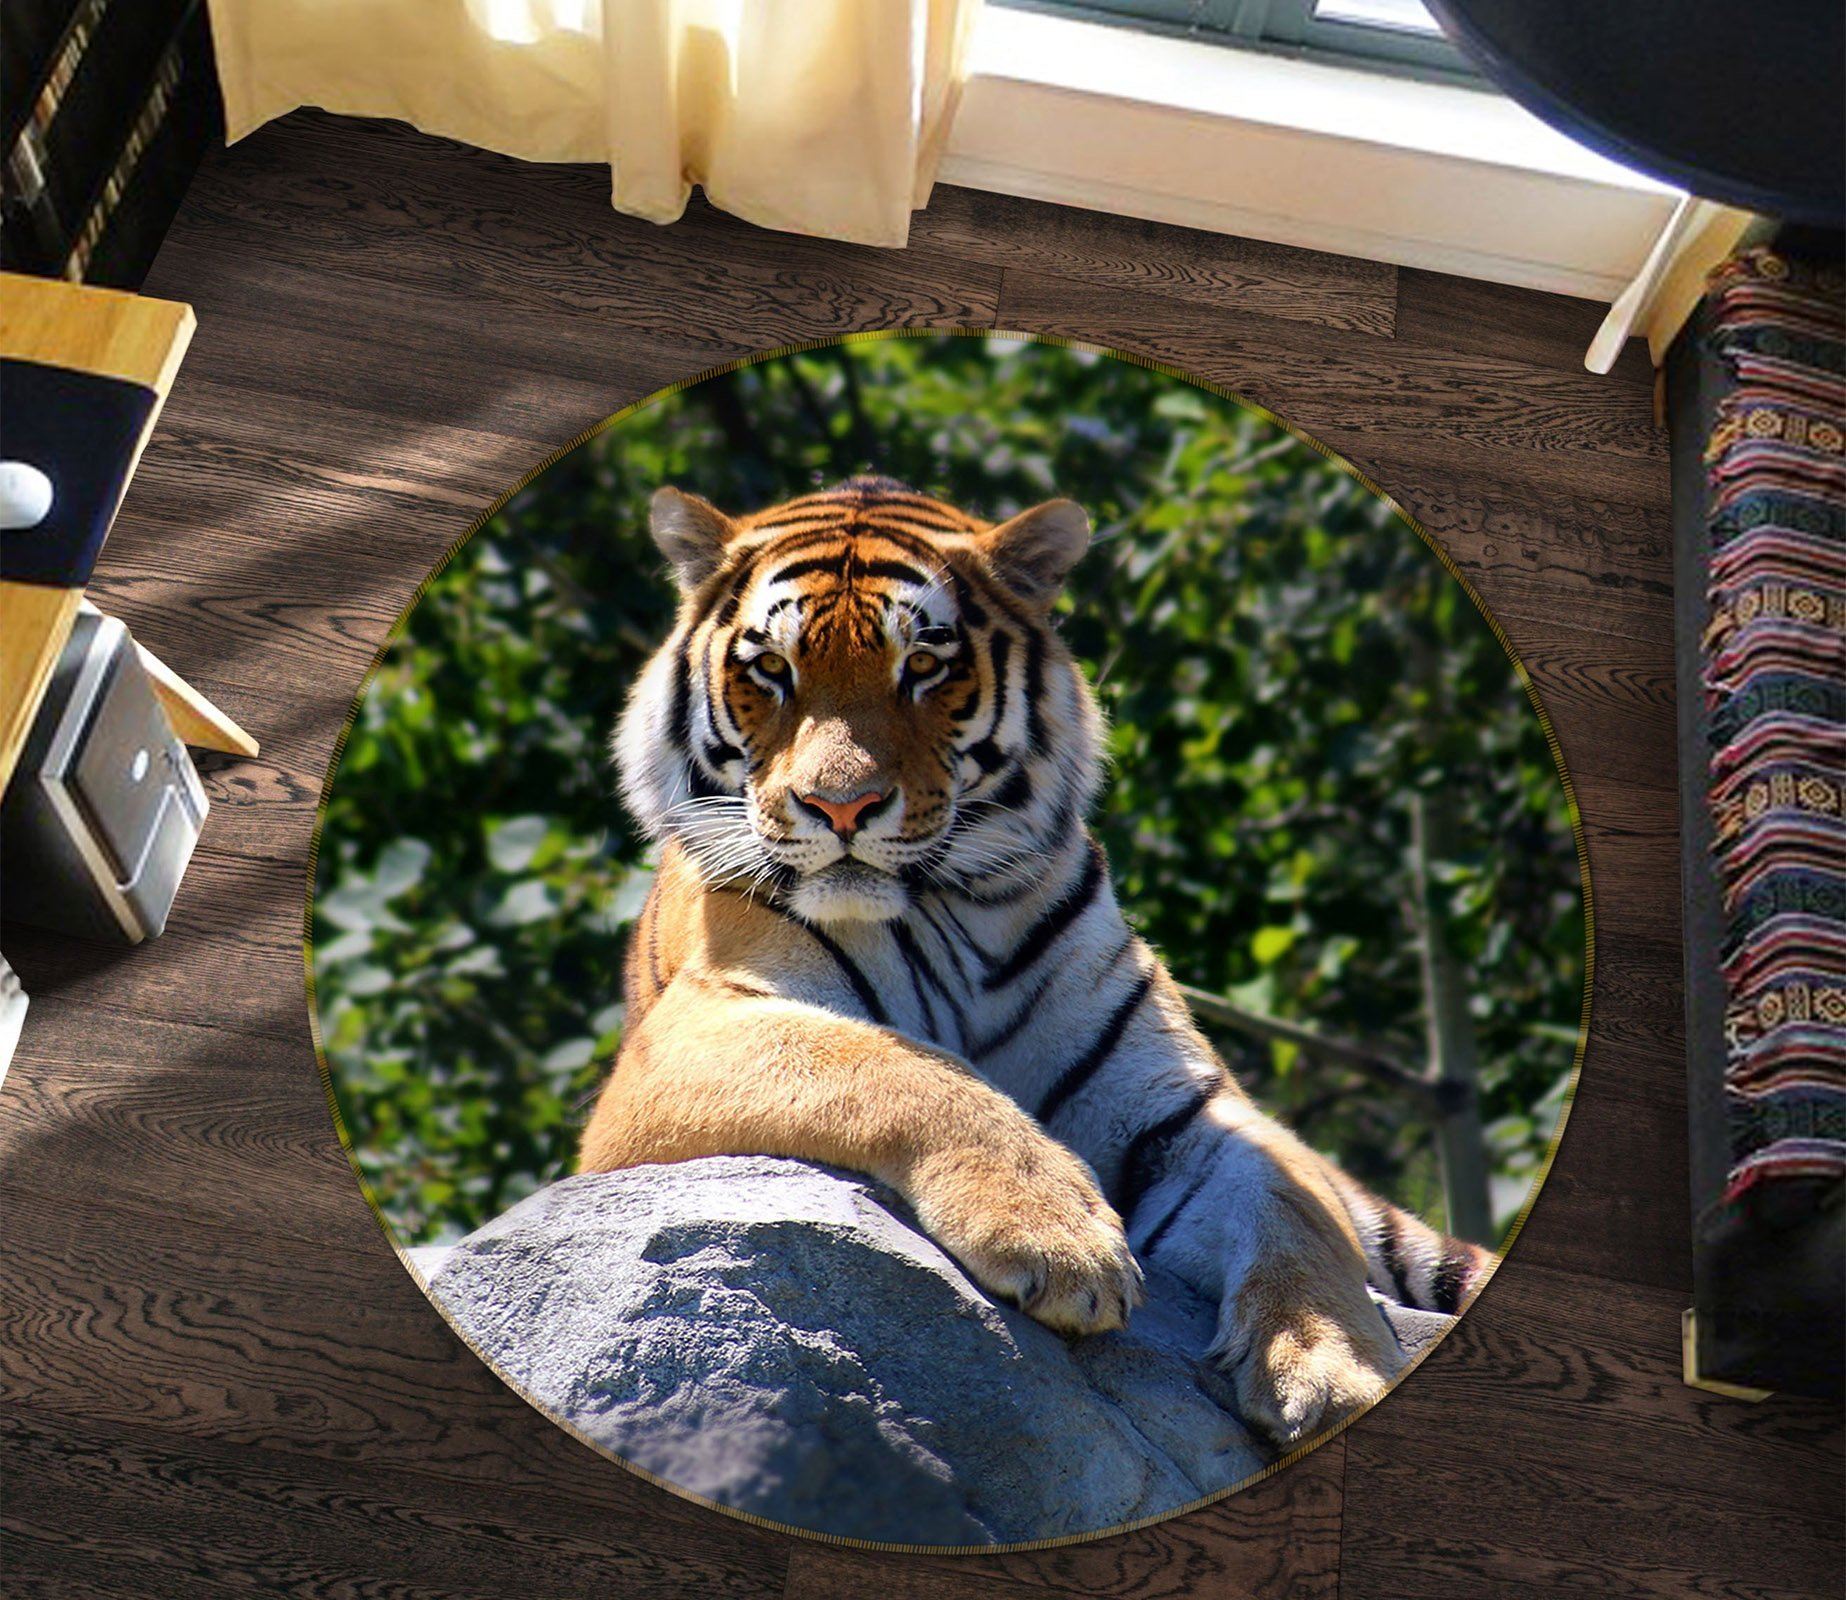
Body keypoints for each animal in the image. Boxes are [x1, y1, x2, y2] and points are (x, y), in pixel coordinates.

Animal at [580, 474, 1495, 1445]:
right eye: (771, 671)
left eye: (924, 667)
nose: (841, 807)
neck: (955, 909)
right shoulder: (689, 1034)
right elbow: (893, 1067)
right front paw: (1059, 1241)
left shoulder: (1184, 1112)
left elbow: (1294, 1210)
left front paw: (1334, 1370)